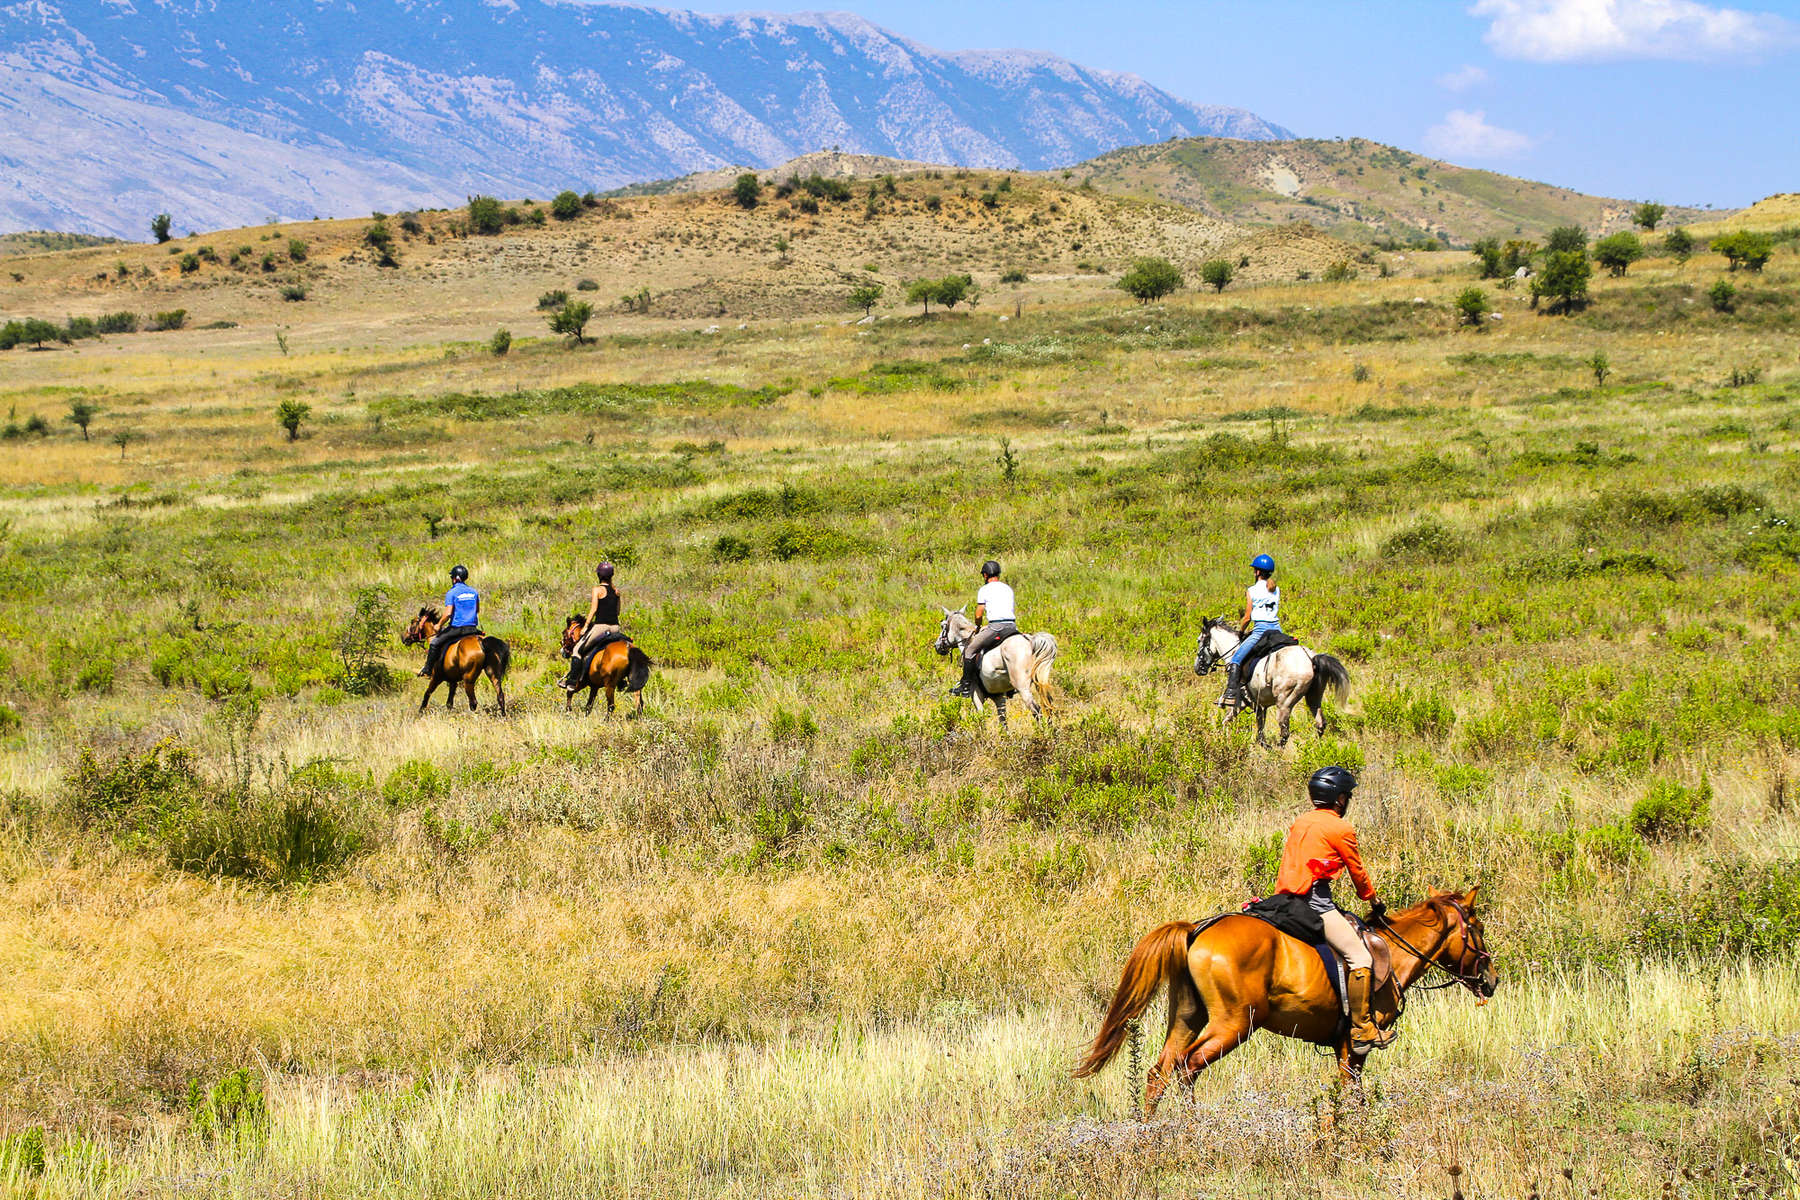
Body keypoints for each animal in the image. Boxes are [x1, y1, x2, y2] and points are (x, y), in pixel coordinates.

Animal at [1072, 888, 1497, 1115]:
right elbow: (1351, 1094)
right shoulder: (1355, 1045)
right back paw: (1191, 1129)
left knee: (1159, 1072)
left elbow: (1349, 1093)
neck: (1392, 952)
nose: (1490, 981)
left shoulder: (1343, 1047)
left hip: (1187, 1017)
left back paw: (1149, 1133)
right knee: (1187, 1067)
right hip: (1233, 1024)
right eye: (1476, 928)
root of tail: (1196, 930)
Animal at [1195, 626, 1353, 744]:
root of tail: (1310, 658)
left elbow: (1248, 729)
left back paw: (1278, 754)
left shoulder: (1243, 701)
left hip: (1284, 703)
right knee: (1320, 723)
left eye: (1199, 640)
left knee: (1284, 732)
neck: (1234, 651)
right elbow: (1236, 723)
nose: (1197, 668)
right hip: (1314, 697)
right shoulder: (1257, 704)